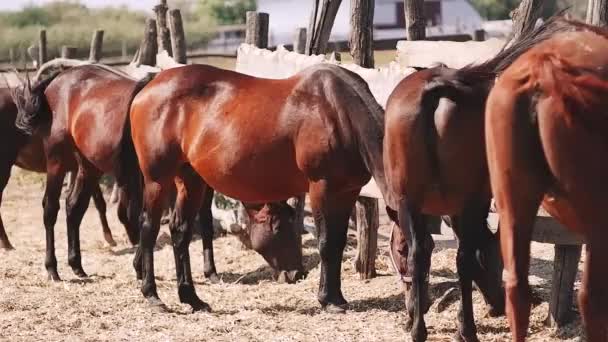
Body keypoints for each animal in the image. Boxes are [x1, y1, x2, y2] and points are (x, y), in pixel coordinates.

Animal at [0, 87, 116, 250]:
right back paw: (6, 243)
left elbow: (97, 201)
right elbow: (98, 201)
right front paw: (109, 237)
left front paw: (108, 237)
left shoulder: (81, 169)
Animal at [126, 62, 396, 312]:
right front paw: (327, 299)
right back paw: (152, 295)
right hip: (157, 181)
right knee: (148, 228)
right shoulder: (322, 188)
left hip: (191, 181)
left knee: (180, 231)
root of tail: (152, 81)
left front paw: (337, 297)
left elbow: (338, 243)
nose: (297, 274)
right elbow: (326, 243)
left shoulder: (347, 192)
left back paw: (191, 298)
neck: (338, 110)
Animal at [382, 17, 576, 342]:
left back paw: (421, 329)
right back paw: (466, 329)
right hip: (468, 199)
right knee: (462, 259)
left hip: (412, 199)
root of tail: (436, 88)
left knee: (425, 254)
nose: (497, 305)